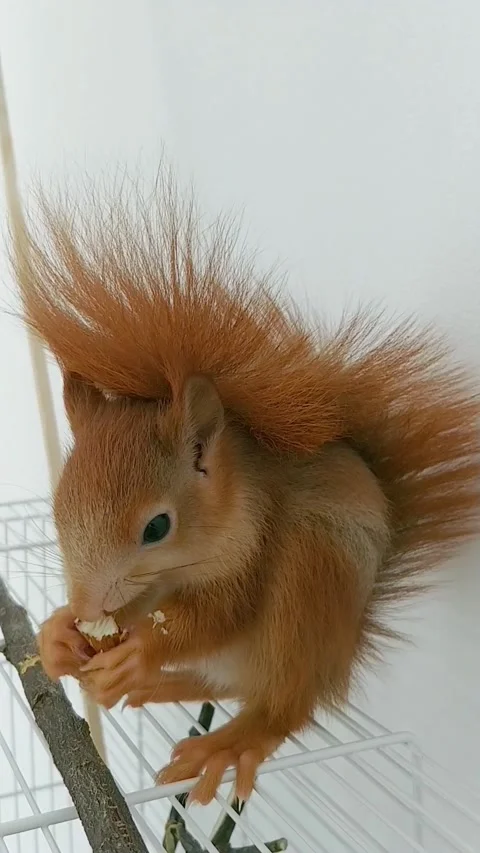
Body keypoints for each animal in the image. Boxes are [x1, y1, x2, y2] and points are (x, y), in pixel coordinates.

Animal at [16, 174, 479, 807]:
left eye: (157, 527)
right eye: (57, 509)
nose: (88, 607)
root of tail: (341, 656)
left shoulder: (258, 542)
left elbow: (222, 612)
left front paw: (142, 648)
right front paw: (60, 634)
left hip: (310, 582)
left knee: (281, 706)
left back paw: (227, 739)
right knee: (221, 682)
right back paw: (158, 686)